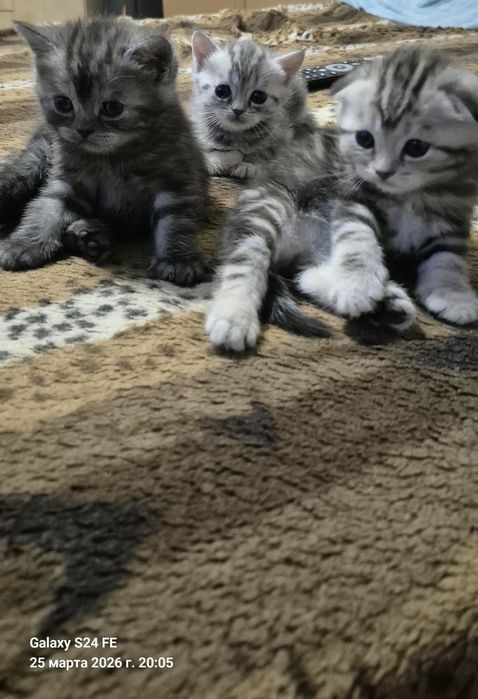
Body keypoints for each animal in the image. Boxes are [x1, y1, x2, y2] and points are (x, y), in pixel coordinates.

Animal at [0, 17, 208, 286]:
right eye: (63, 103)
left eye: (112, 108)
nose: (83, 130)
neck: (112, 157)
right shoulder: (68, 179)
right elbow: (47, 206)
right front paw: (25, 242)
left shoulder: (175, 179)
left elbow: (175, 219)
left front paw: (177, 259)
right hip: (35, 160)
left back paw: (89, 236)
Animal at [190, 31, 308, 180]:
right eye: (221, 91)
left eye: (259, 97)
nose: (238, 110)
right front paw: (226, 157)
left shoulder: (284, 135)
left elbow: (271, 153)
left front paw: (250, 164)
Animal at [206, 46, 478, 351]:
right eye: (365, 139)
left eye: (416, 147)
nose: (382, 172)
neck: (410, 195)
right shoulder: (354, 198)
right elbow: (358, 239)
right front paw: (359, 284)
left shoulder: (453, 220)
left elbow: (447, 258)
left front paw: (453, 294)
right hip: (266, 208)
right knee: (245, 263)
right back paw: (233, 318)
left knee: (307, 277)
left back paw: (387, 306)